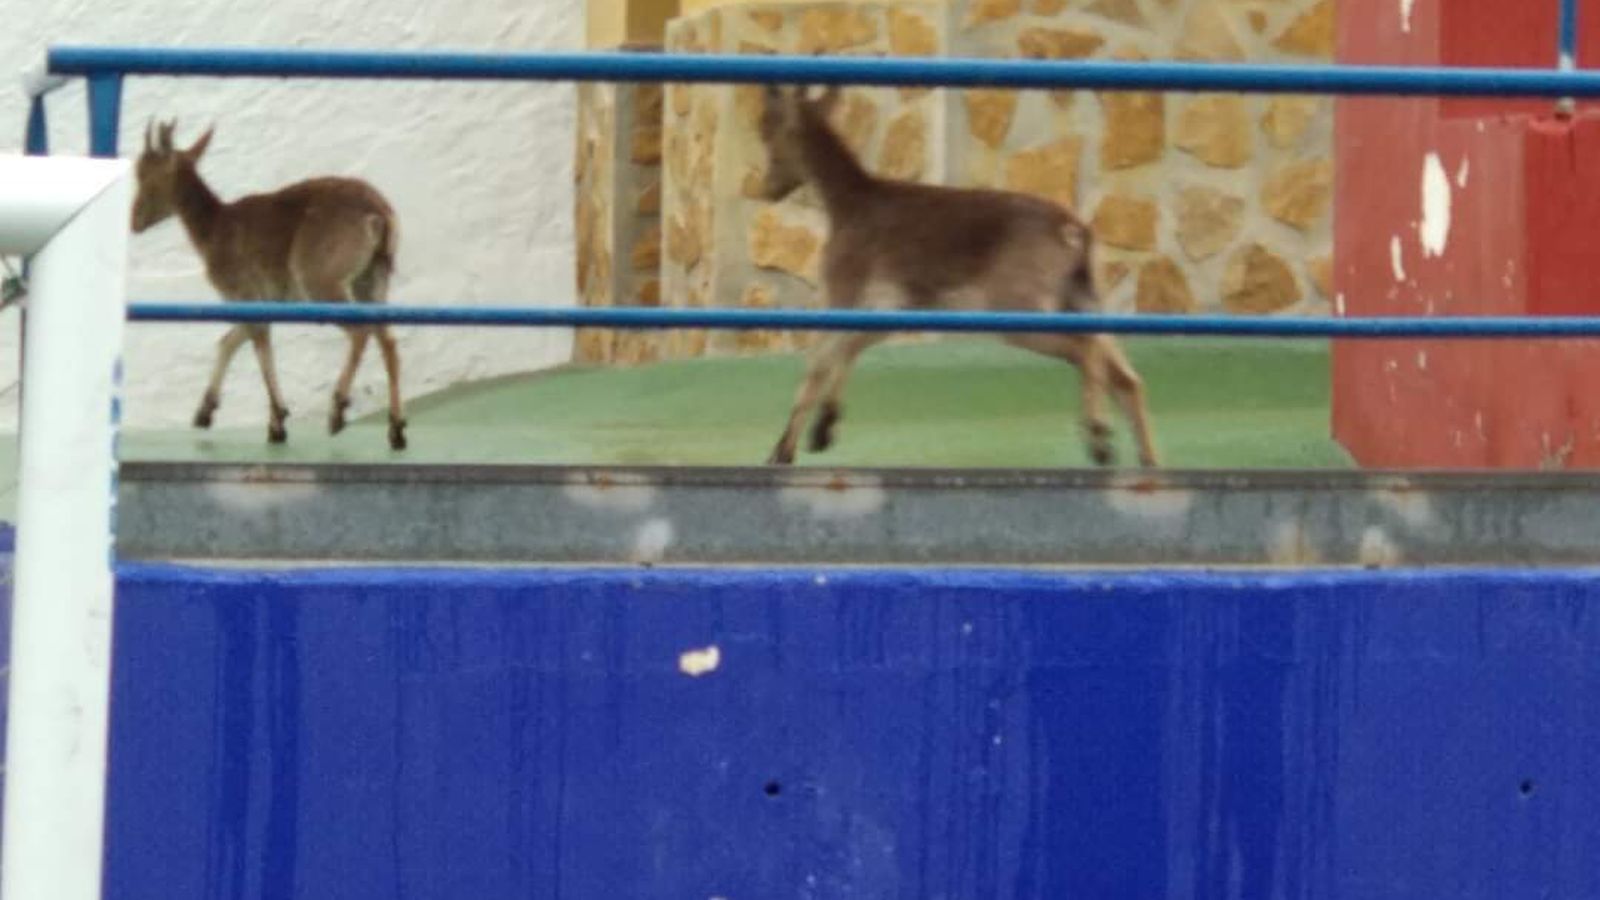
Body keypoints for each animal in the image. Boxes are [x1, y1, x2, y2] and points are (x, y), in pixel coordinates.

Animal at [131, 119, 407, 450]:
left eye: (145, 174)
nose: (134, 221)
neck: (213, 230)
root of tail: (380, 215)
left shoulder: (244, 294)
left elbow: (258, 348)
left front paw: (277, 424)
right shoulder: (261, 302)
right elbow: (230, 340)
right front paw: (204, 413)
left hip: (321, 282)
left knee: (360, 331)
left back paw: (337, 411)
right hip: (373, 279)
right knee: (387, 340)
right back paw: (396, 429)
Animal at [755, 84, 1159, 468]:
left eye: (768, 133)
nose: (766, 187)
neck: (847, 205)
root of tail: (1077, 232)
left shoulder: (844, 284)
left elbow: (818, 364)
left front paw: (784, 451)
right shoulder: (895, 304)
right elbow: (847, 350)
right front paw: (823, 429)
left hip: (1018, 303)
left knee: (1086, 348)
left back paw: (1099, 438)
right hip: (1079, 296)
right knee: (1125, 374)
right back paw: (1144, 458)